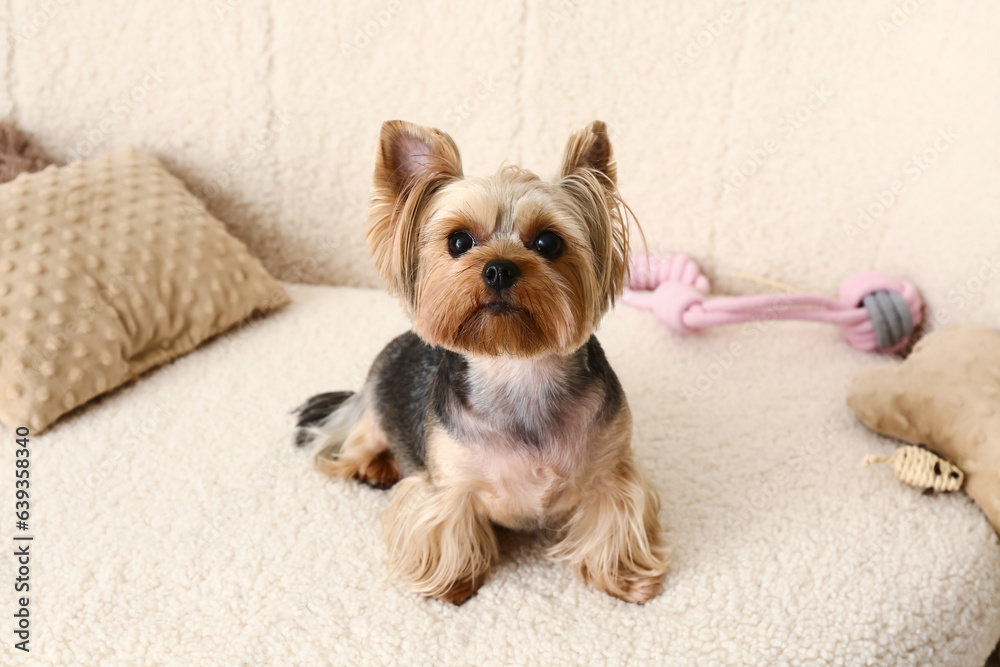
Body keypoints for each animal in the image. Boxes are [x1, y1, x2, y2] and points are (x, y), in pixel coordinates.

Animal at [296, 118, 672, 604]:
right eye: (459, 241)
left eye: (548, 242)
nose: (498, 268)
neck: (517, 368)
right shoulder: (447, 484)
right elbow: (446, 525)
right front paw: (453, 584)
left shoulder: (611, 470)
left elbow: (614, 518)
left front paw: (625, 577)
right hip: (373, 412)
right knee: (354, 443)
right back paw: (376, 466)